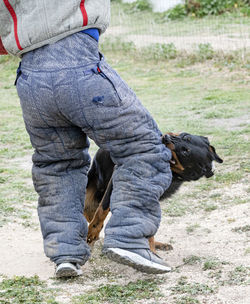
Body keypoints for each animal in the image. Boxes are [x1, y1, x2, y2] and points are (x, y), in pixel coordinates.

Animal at [84, 133, 223, 252]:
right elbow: (102, 210)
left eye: (186, 151)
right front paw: (93, 231)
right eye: (184, 136)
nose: (166, 137)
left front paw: (151, 249)